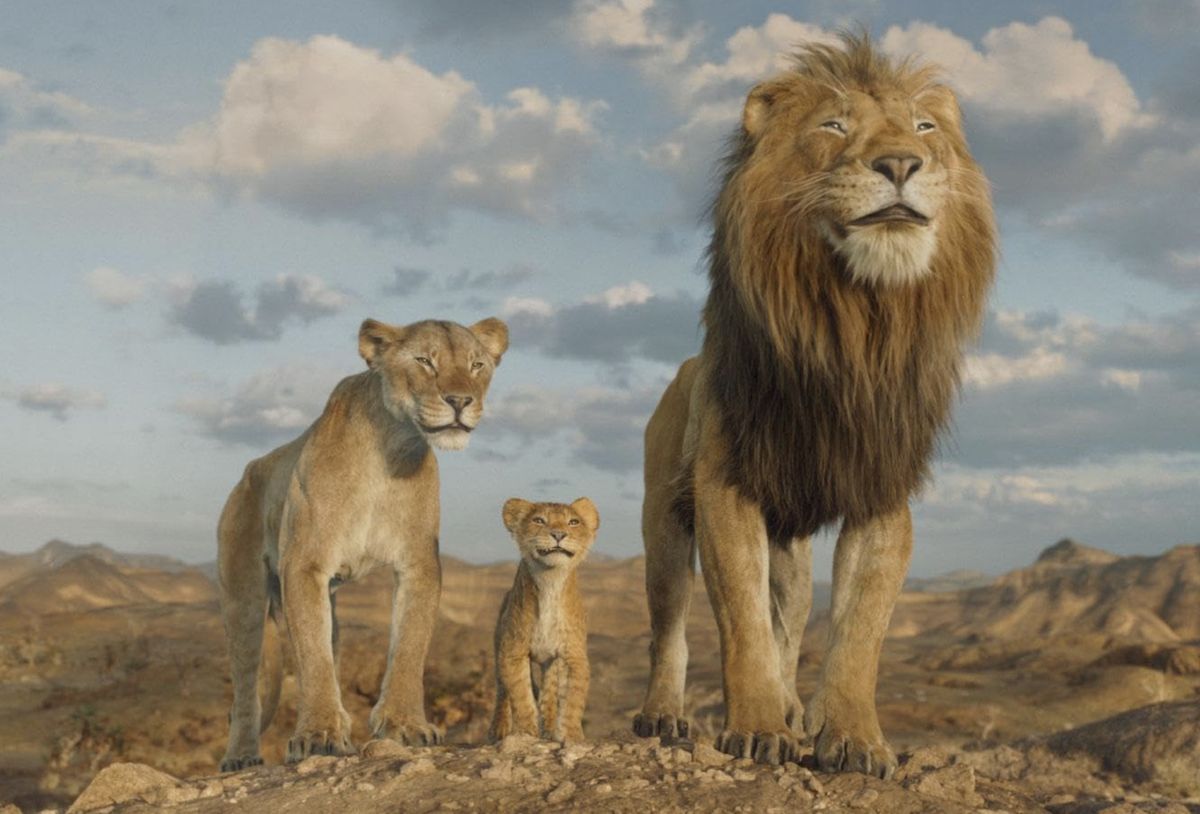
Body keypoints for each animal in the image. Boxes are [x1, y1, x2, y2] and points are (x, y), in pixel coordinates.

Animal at [217, 315, 509, 771]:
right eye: (425, 361)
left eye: (477, 365)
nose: (461, 400)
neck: (390, 448)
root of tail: (249, 472)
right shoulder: (305, 565)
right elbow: (313, 658)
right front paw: (318, 734)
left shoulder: (418, 563)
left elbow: (409, 646)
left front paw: (405, 724)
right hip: (242, 598)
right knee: (246, 686)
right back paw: (241, 757)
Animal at [488, 497, 599, 744]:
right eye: (539, 520)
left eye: (573, 522)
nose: (558, 534)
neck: (550, 580)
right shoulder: (513, 651)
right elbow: (520, 696)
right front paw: (526, 733)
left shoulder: (573, 655)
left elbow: (573, 700)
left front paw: (571, 736)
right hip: (499, 647)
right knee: (501, 691)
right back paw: (498, 729)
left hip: (552, 663)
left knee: (549, 695)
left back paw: (549, 728)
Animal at [632, 34, 996, 777]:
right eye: (833, 126)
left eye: (925, 128)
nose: (901, 164)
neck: (854, 323)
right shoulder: (725, 485)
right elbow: (741, 623)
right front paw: (756, 727)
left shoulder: (881, 489)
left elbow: (859, 630)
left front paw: (854, 739)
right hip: (663, 523)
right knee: (670, 626)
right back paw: (664, 715)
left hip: (791, 552)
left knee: (791, 621)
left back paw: (794, 707)